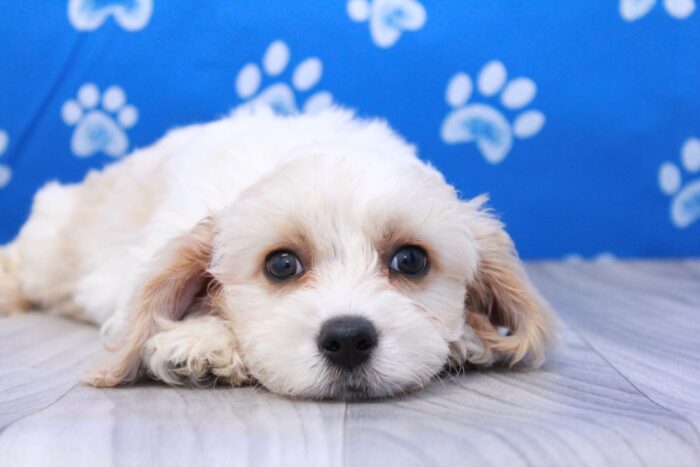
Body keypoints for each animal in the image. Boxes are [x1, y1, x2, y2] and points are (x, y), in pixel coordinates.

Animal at [1, 108, 556, 400]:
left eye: (411, 261)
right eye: (282, 264)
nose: (348, 339)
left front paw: (469, 337)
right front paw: (201, 341)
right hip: (52, 248)